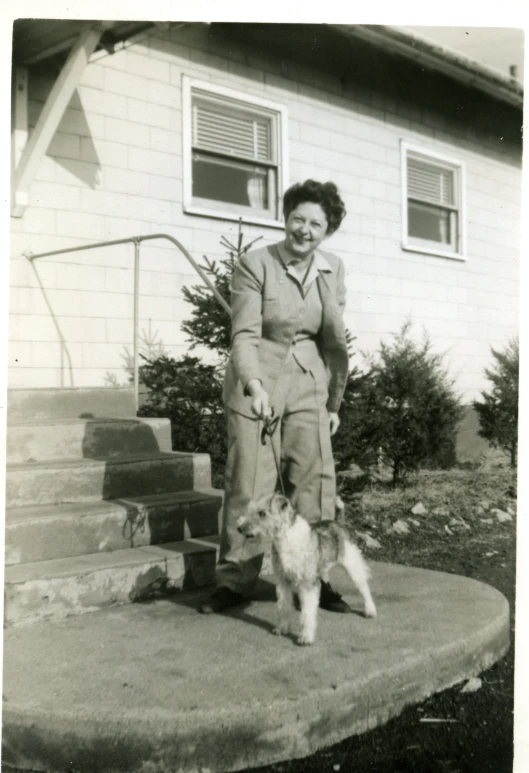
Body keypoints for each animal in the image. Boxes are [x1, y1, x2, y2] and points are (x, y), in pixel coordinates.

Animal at [235, 494, 376, 644]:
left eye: (262, 513)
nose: (239, 528)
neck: (285, 537)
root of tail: (338, 523)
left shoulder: (307, 584)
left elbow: (307, 613)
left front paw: (306, 637)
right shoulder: (284, 581)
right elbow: (284, 606)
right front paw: (282, 628)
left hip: (352, 565)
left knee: (364, 588)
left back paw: (370, 611)